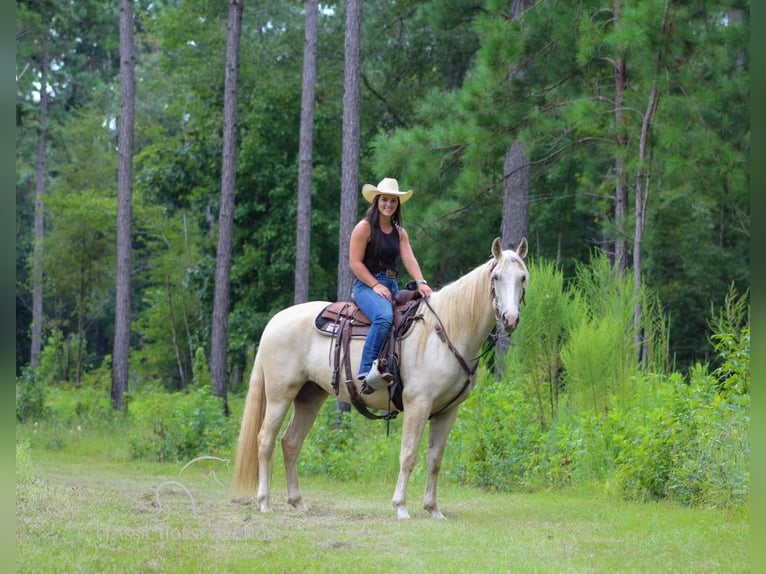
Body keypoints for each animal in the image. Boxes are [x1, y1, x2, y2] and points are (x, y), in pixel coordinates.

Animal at [234, 236, 532, 520]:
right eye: (496, 277)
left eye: (523, 277)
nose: (510, 318)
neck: (446, 330)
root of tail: (275, 321)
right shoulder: (418, 404)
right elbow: (408, 455)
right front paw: (400, 507)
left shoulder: (448, 411)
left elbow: (435, 459)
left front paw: (433, 509)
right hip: (280, 394)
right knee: (265, 440)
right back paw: (264, 502)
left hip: (309, 396)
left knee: (291, 442)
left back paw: (298, 502)